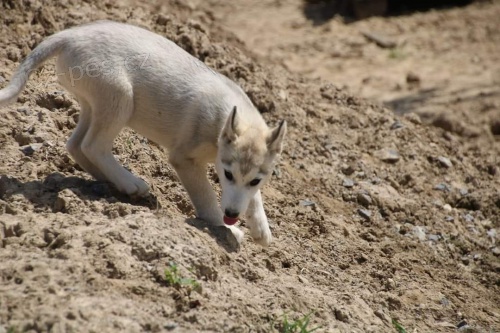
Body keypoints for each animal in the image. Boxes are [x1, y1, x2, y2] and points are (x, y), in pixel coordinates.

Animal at [0, 20, 286, 244]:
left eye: (255, 180)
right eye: (227, 175)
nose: (233, 215)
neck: (222, 118)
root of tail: (70, 35)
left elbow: (254, 198)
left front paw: (260, 229)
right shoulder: (184, 159)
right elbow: (205, 197)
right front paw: (227, 229)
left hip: (93, 105)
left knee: (76, 145)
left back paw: (111, 181)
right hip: (120, 98)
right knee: (93, 146)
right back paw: (130, 183)